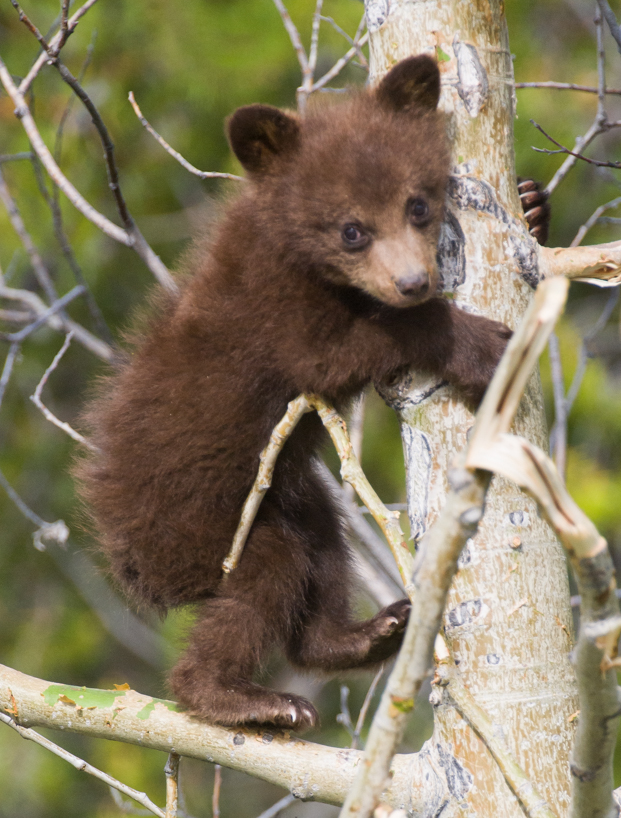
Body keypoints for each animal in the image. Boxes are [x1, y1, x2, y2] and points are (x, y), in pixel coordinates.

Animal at [77, 55, 548, 731]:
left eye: (418, 206)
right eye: (352, 230)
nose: (413, 281)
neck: (292, 249)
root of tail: (124, 559)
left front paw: (533, 205)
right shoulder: (270, 310)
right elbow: (337, 352)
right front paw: (477, 343)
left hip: (292, 496)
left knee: (324, 549)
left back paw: (367, 633)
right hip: (204, 530)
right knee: (266, 577)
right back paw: (245, 699)